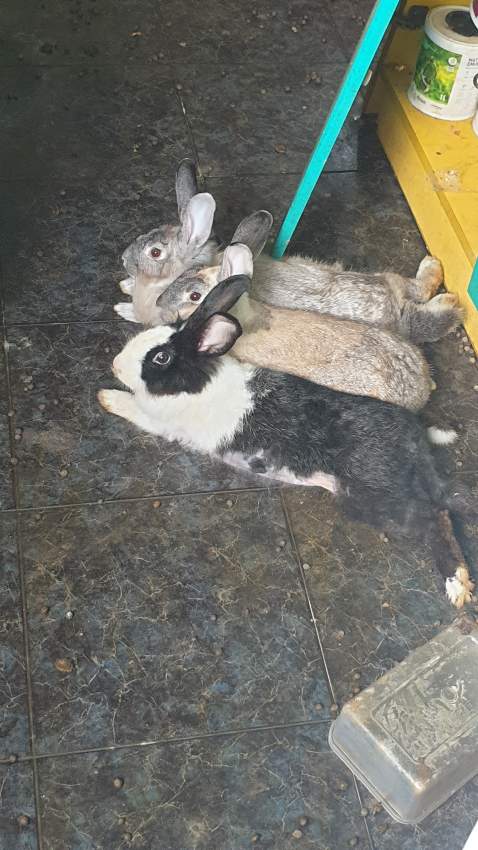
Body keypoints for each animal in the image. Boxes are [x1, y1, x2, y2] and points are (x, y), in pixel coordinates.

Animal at [98, 274, 474, 608]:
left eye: (160, 357)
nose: (115, 365)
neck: (198, 380)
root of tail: (414, 434)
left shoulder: (164, 422)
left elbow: (133, 407)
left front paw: (106, 397)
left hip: (371, 497)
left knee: (430, 517)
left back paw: (456, 585)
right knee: (444, 506)